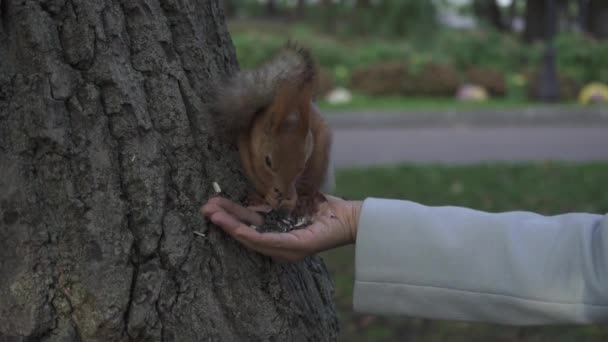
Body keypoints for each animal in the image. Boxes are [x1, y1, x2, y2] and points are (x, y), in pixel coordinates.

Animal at [210, 41, 332, 215]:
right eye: (267, 161)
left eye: (302, 166)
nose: (283, 192)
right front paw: (269, 195)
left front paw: (293, 198)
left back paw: (307, 200)